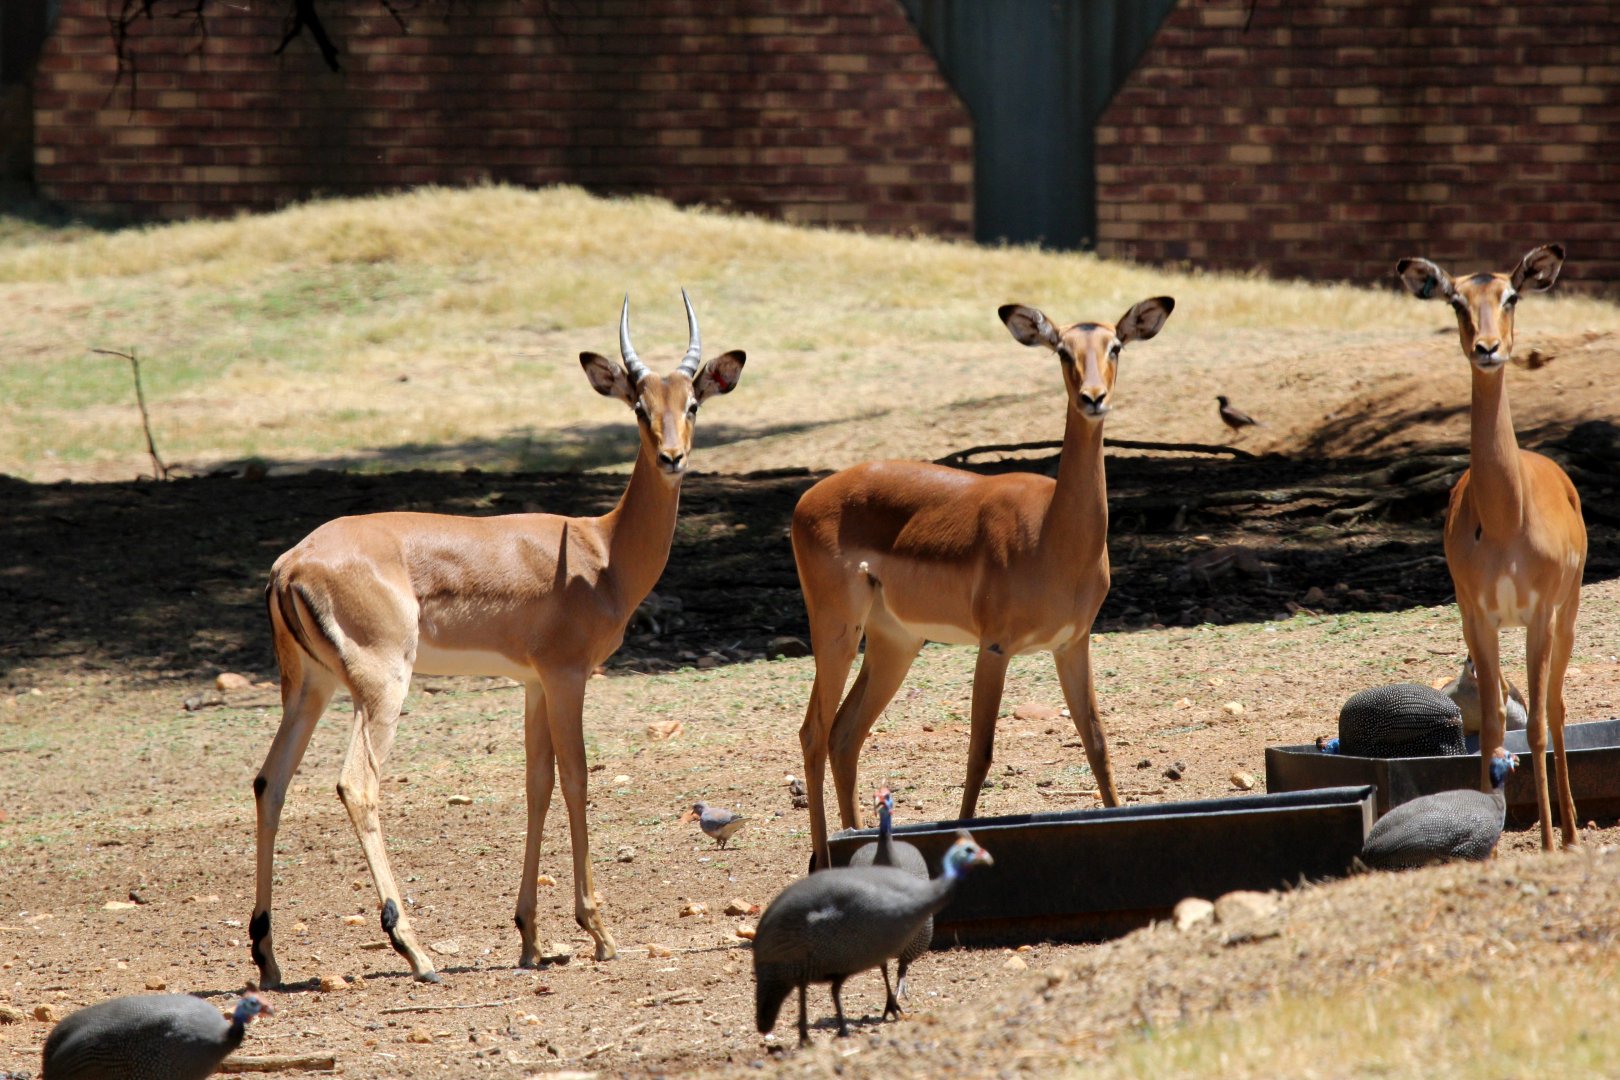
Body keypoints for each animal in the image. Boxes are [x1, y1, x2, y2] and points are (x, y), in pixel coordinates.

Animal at [250, 291, 746, 984]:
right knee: (357, 785)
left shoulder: (533, 683)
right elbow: (577, 779)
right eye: (639, 407)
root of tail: (290, 563)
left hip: (309, 688)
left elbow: (536, 786)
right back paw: (416, 952)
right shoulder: (567, 676)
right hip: (382, 685)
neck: (602, 553)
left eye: (692, 403)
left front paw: (530, 938)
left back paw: (268, 959)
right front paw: (599, 931)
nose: (672, 458)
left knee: (270, 782)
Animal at [791, 296, 1175, 868]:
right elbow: (981, 751)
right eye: (1062, 350)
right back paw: (825, 859)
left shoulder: (1072, 643)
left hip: (894, 642)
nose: (1093, 398)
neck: (1052, 536)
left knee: (845, 733)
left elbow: (1097, 742)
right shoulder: (994, 647)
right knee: (814, 731)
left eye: (1116, 346)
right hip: (836, 628)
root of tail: (806, 499)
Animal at [1397, 244, 1586, 850]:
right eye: (1456, 300)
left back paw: (1570, 832)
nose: (1487, 348)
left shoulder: (1540, 614)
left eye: (1511, 296)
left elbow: (1539, 726)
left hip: (1567, 615)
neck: (1506, 522)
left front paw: (1547, 842)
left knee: (1557, 707)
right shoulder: (1476, 617)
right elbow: (1496, 727)